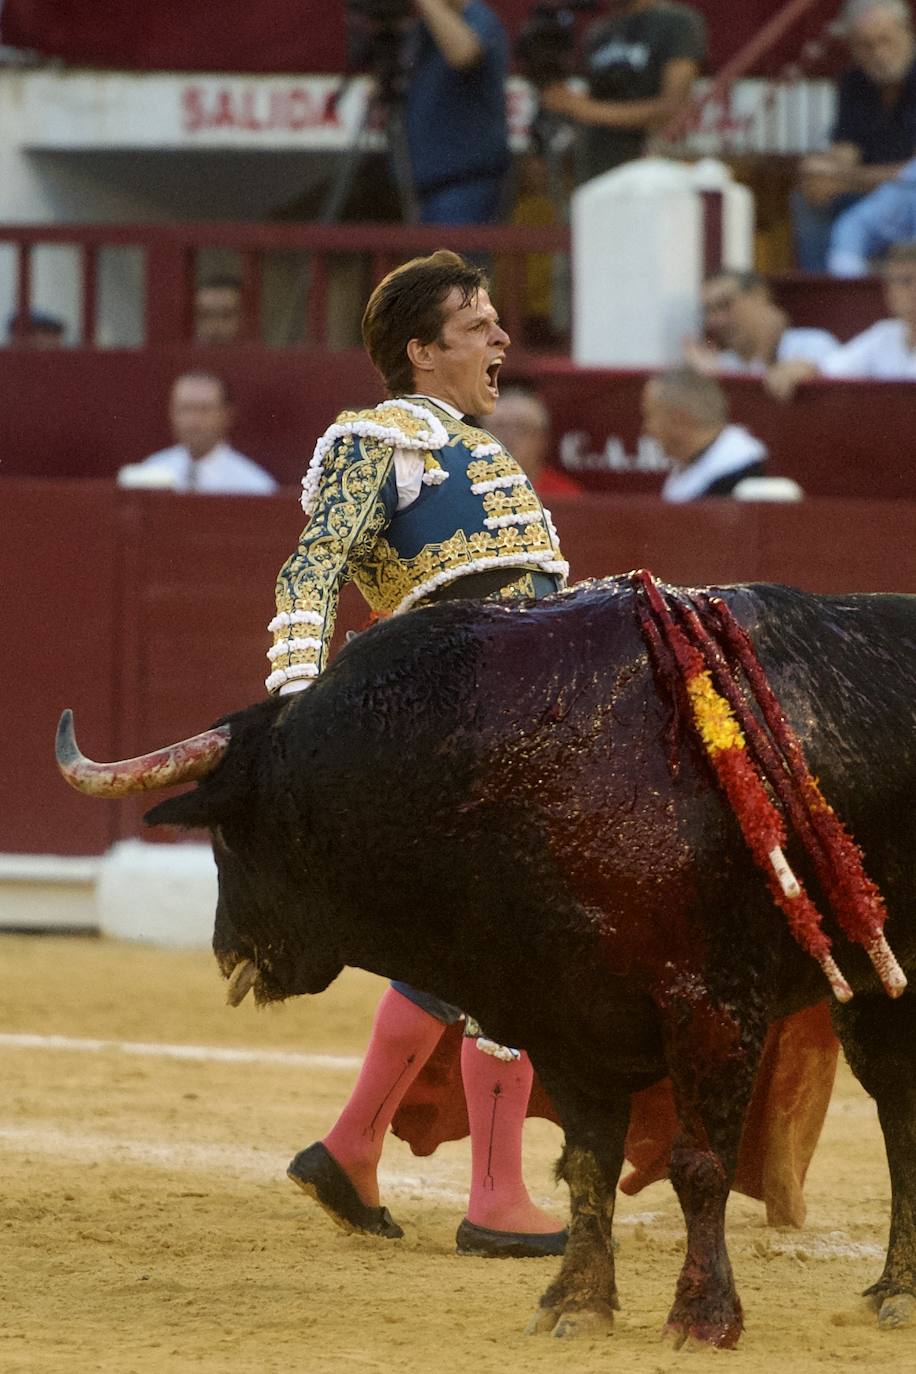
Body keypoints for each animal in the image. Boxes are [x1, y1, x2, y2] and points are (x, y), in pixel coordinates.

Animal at [57, 574, 916, 1346]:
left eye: (227, 836)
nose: (224, 949)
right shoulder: (569, 1015)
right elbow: (589, 1166)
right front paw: (575, 1306)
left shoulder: (712, 1005)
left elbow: (698, 1162)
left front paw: (702, 1319)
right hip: (877, 993)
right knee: (900, 1113)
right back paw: (893, 1295)